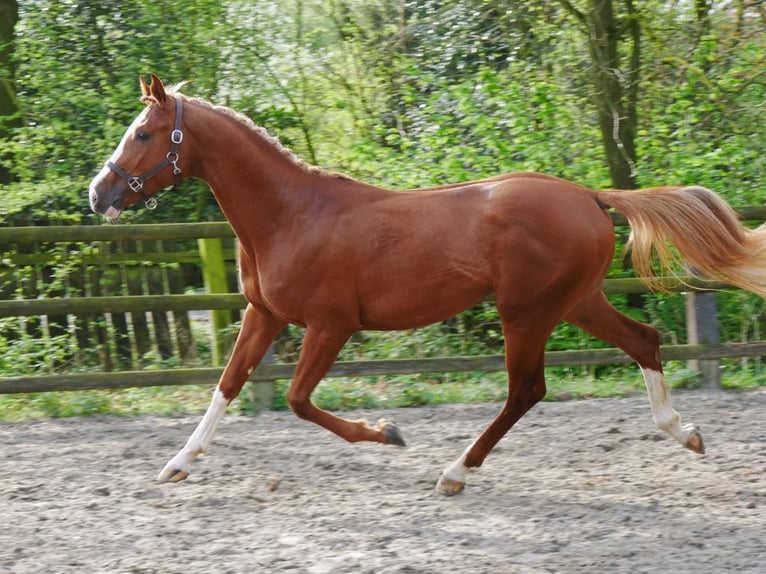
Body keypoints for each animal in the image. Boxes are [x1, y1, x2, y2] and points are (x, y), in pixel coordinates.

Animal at [88, 74, 766, 498]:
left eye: (143, 133)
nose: (99, 193)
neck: (290, 216)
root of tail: (589, 196)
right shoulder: (264, 313)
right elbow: (227, 386)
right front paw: (175, 464)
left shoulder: (331, 324)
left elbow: (299, 401)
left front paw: (388, 434)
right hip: (576, 301)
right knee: (644, 340)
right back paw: (686, 433)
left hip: (527, 312)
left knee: (527, 390)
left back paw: (454, 472)